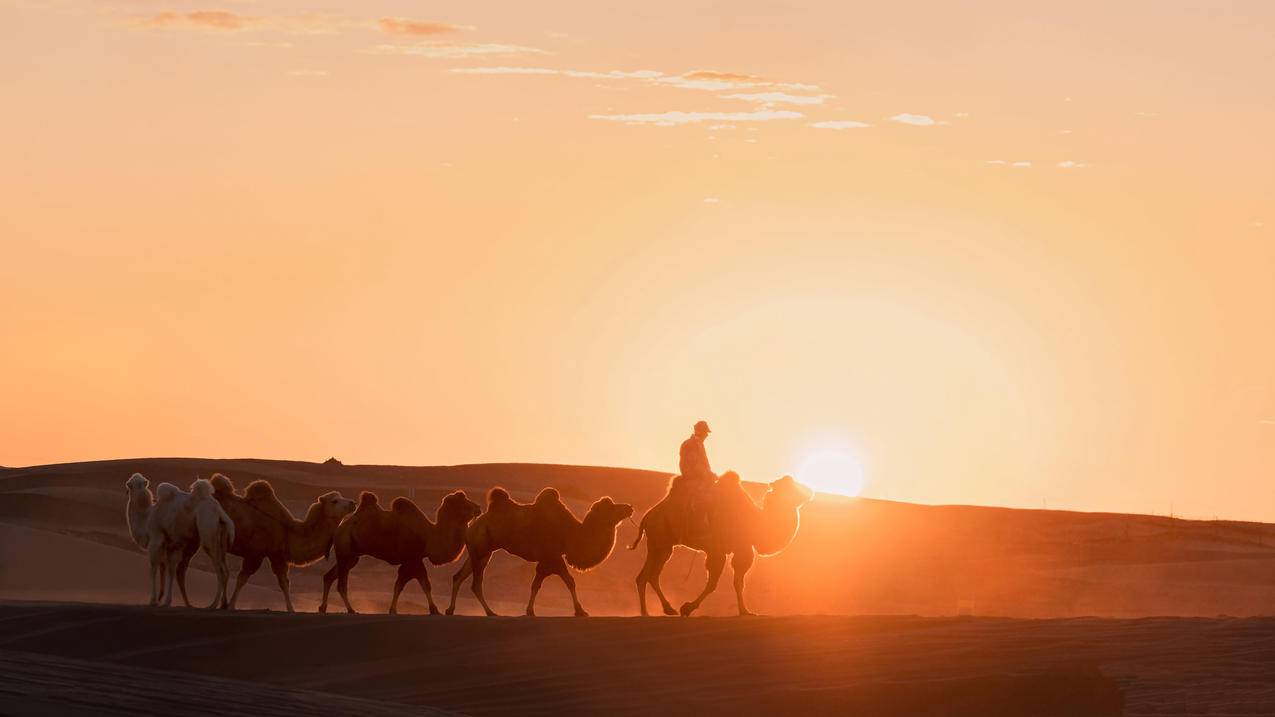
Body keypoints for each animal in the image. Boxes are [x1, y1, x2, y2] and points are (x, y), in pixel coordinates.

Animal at [169, 474, 357, 607]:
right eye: (335, 501)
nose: (353, 503)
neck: (287, 530)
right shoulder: (255, 553)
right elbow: (242, 578)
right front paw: (231, 606)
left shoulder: (277, 556)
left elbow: (284, 583)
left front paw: (291, 609)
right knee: (186, 567)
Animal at [316, 487, 479, 612]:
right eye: (463, 502)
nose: (478, 507)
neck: (429, 536)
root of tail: (338, 529)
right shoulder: (413, 559)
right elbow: (425, 584)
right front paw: (434, 609)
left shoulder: (409, 561)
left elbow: (399, 585)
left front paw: (393, 609)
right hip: (345, 552)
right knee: (341, 584)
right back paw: (351, 610)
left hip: (351, 556)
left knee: (329, 576)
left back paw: (323, 608)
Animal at [446, 484, 634, 614]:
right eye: (611, 507)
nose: (629, 507)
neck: (570, 533)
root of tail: (472, 526)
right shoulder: (552, 557)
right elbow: (566, 582)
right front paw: (580, 611)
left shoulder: (549, 559)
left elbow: (539, 583)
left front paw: (531, 610)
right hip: (481, 548)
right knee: (475, 584)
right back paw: (490, 612)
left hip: (481, 552)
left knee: (459, 576)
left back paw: (451, 610)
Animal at [629, 474, 816, 614]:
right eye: (789, 485)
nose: (810, 491)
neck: (755, 521)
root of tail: (647, 517)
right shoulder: (726, 550)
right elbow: (717, 583)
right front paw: (688, 608)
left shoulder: (738, 549)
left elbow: (737, 583)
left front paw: (745, 611)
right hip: (660, 542)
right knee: (649, 576)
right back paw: (650, 612)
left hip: (662, 546)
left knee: (648, 576)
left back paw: (662, 610)